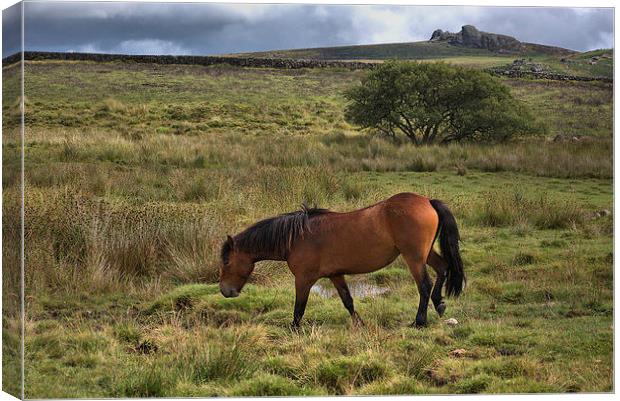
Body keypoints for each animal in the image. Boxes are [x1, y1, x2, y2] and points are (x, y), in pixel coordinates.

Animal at [219, 192, 464, 326]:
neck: (296, 237)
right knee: (443, 268)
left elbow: (299, 308)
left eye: (227, 262)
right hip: (425, 253)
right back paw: (439, 304)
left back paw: (419, 321)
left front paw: (294, 329)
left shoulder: (303, 279)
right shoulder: (336, 275)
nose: (225, 291)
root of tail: (427, 201)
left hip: (413, 257)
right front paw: (359, 324)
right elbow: (348, 301)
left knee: (424, 285)